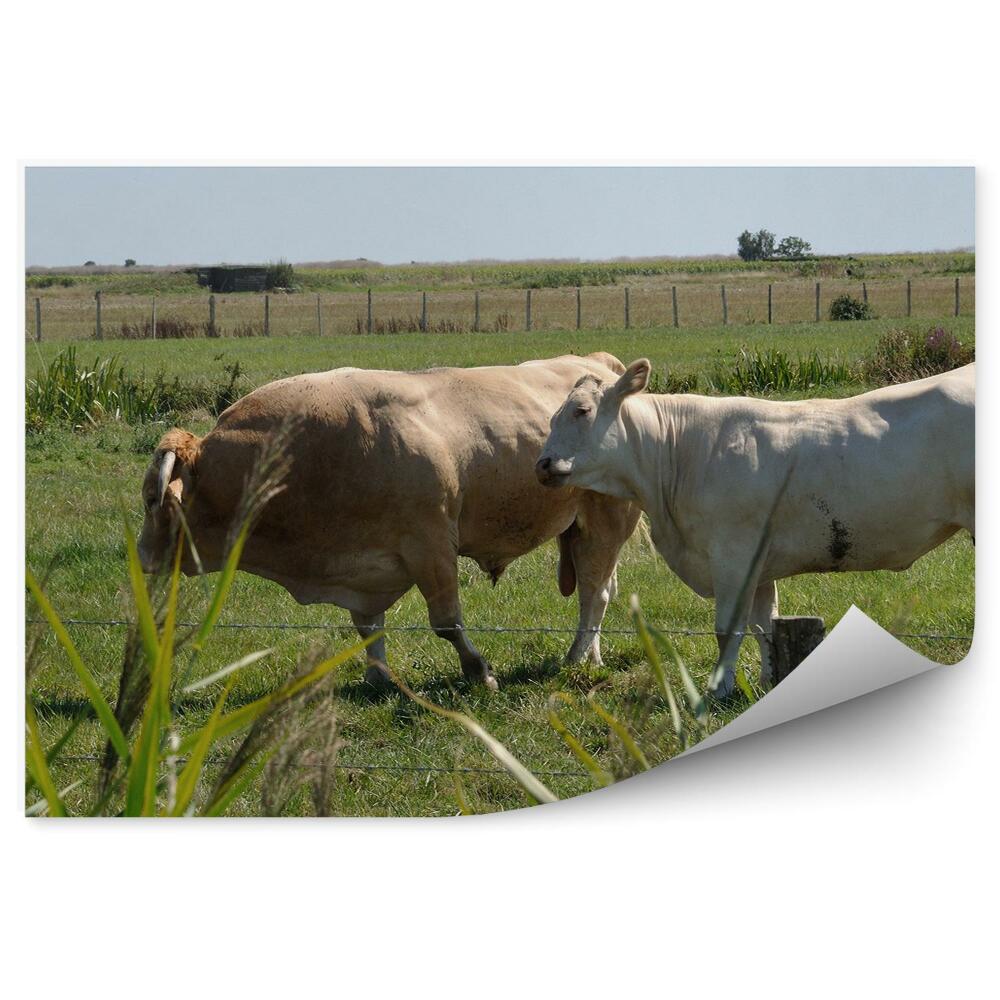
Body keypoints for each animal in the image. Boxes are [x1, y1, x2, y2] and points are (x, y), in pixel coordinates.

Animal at [138, 354, 641, 691]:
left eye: (149, 499)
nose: (141, 557)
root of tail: (600, 364)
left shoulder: (431, 544)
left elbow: (447, 623)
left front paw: (479, 672)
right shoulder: (361, 568)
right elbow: (368, 629)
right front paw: (378, 679)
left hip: (606, 520)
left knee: (594, 594)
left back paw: (576, 657)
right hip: (580, 530)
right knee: (600, 590)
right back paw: (592, 658)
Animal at [536, 359, 975, 698]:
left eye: (581, 411)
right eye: (554, 416)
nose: (542, 464)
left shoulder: (734, 556)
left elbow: (728, 629)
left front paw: (719, 690)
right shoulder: (761, 563)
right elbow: (765, 626)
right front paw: (768, 681)